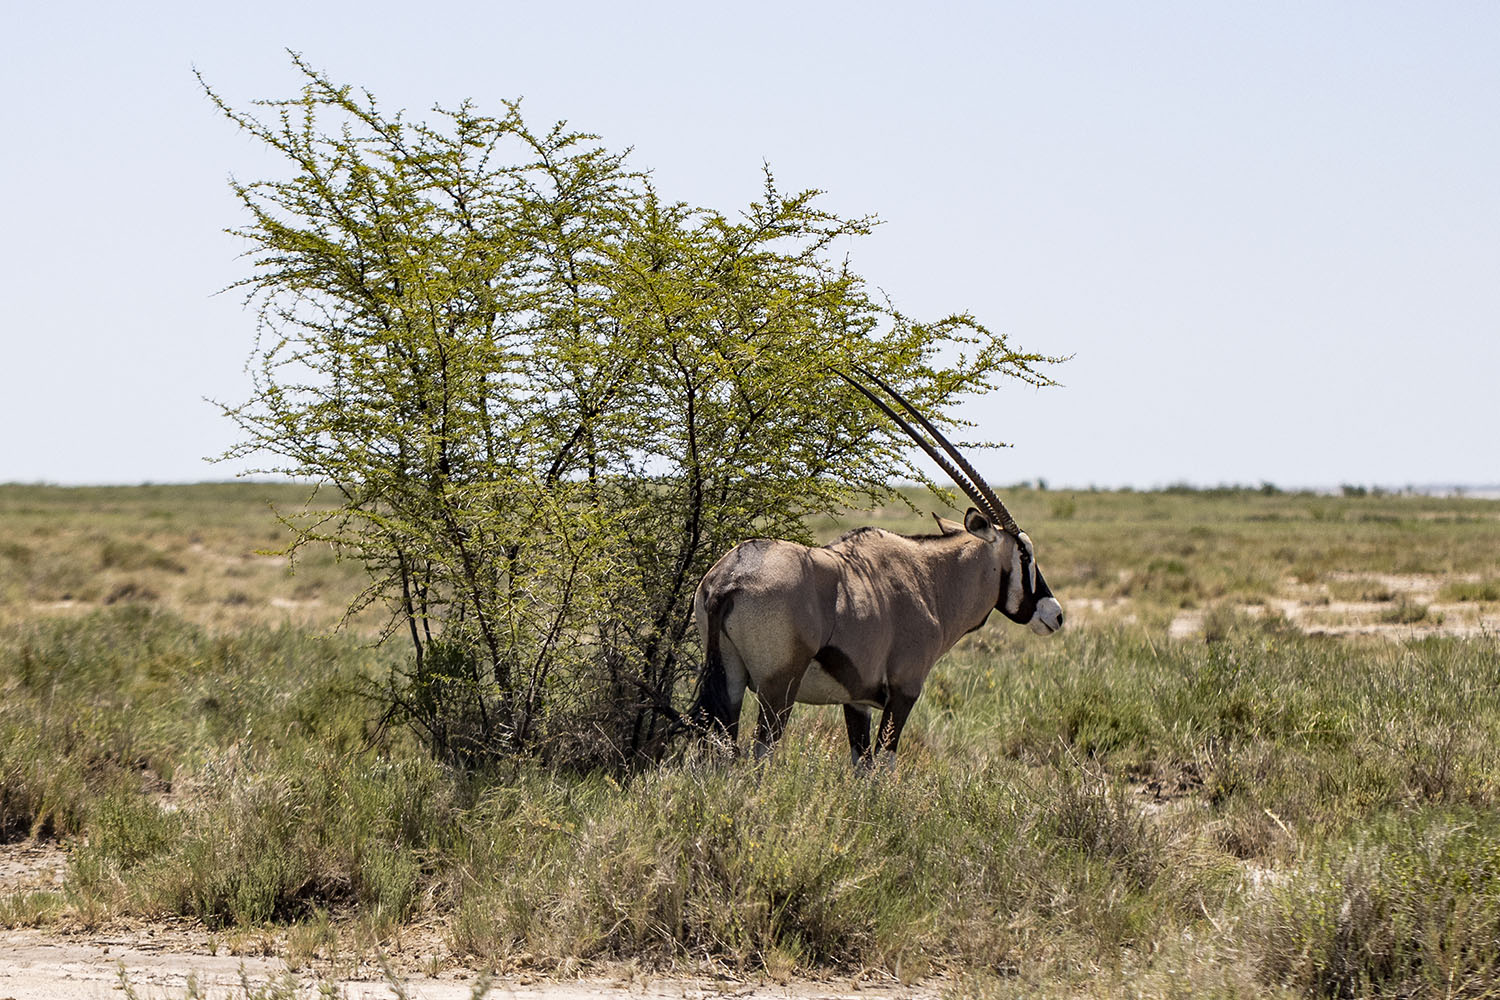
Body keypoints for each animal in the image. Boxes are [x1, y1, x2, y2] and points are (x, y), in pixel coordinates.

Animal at [693, 367, 1068, 767]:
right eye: (1025, 554)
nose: (1055, 614)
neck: (930, 580)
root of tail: (727, 581)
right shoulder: (904, 690)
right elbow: (885, 765)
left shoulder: (857, 701)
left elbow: (862, 764)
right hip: (777, 689)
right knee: (758, 755)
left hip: (731, 679)